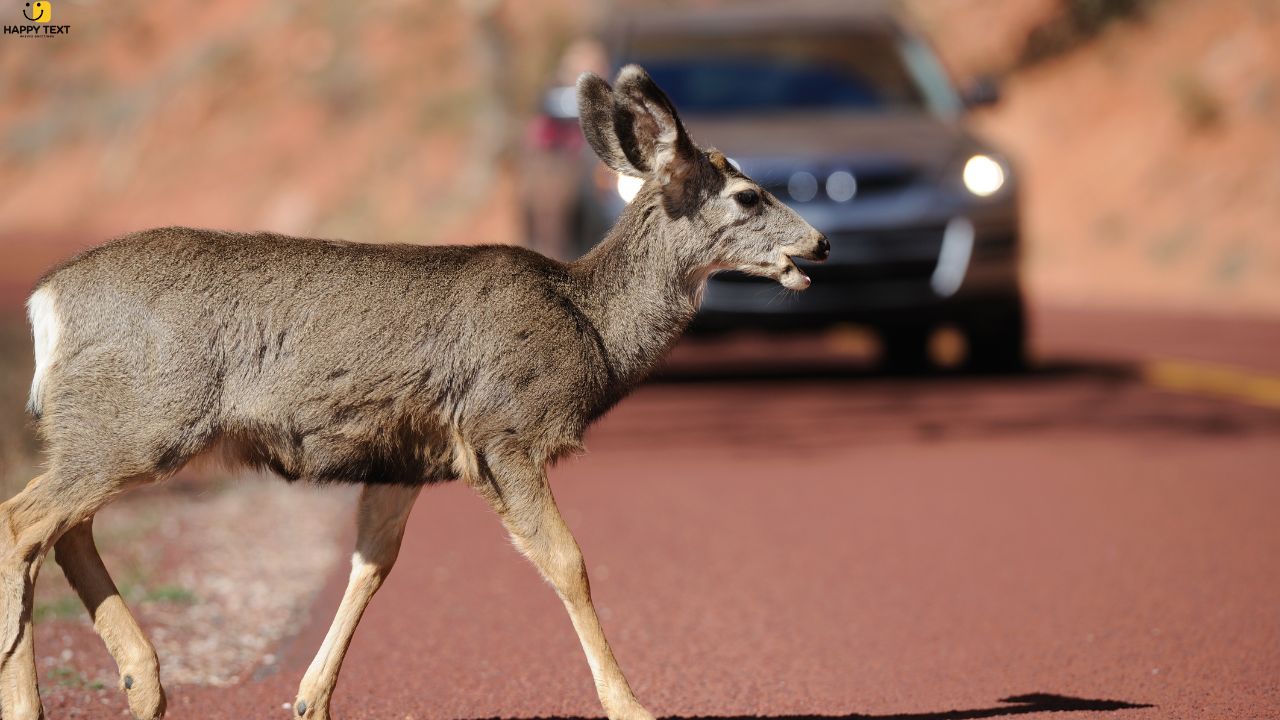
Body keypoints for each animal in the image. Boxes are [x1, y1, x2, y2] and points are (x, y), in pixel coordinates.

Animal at [0, 65, 828, 720]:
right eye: (748, 196)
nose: (818, 243)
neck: (589, 324)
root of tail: (45, 302)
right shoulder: (503, 428)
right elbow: (568, 562)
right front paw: (631, 705)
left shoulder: (405, 457)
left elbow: (373, 564)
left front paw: (311, 699)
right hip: (139, 421)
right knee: (23, 520)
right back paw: (37, 700)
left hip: (110, 430)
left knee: (65, 529)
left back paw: (143, 683)